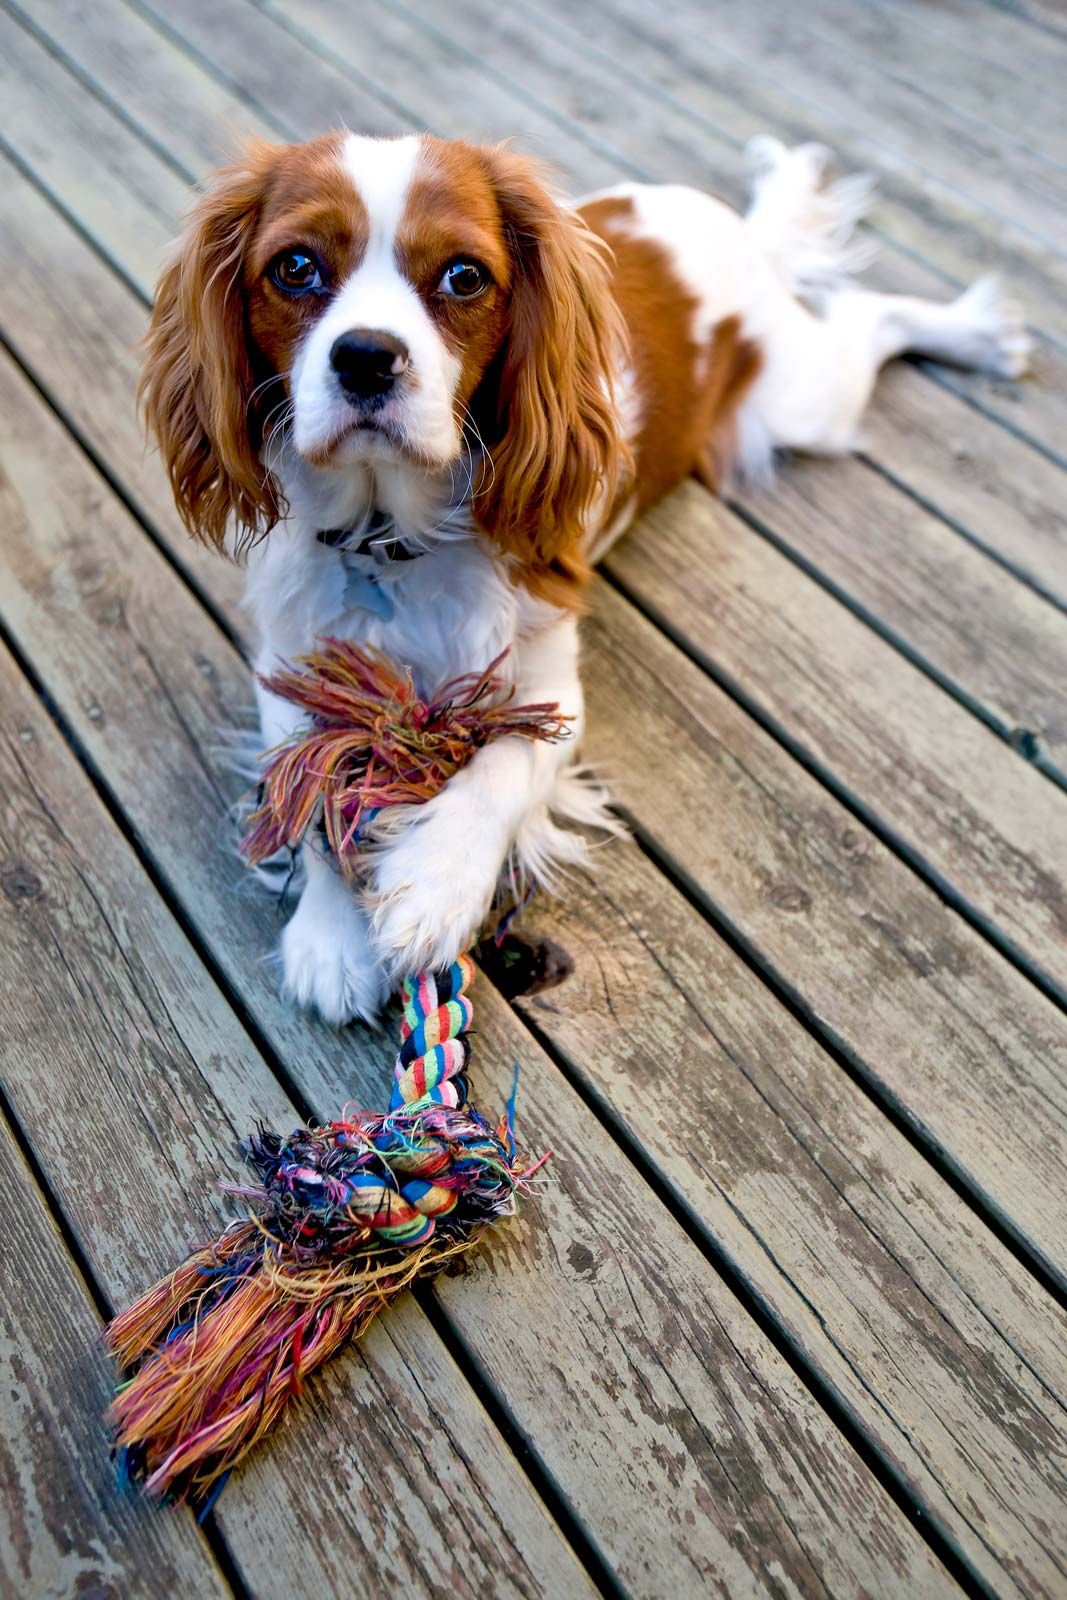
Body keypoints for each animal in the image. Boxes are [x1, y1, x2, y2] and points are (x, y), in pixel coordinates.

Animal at [139, 131, 1023, 1017]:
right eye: (294, 268)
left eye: (464, 276)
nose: (365, 358)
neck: (387, 533)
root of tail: (725, 224)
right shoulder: (289, 663)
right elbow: (312, 777)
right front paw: (329, 934)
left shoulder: (549, 688)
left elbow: (499, 769)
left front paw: (433, 887)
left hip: (806, 401)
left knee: (869, 317)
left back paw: (979, 335)